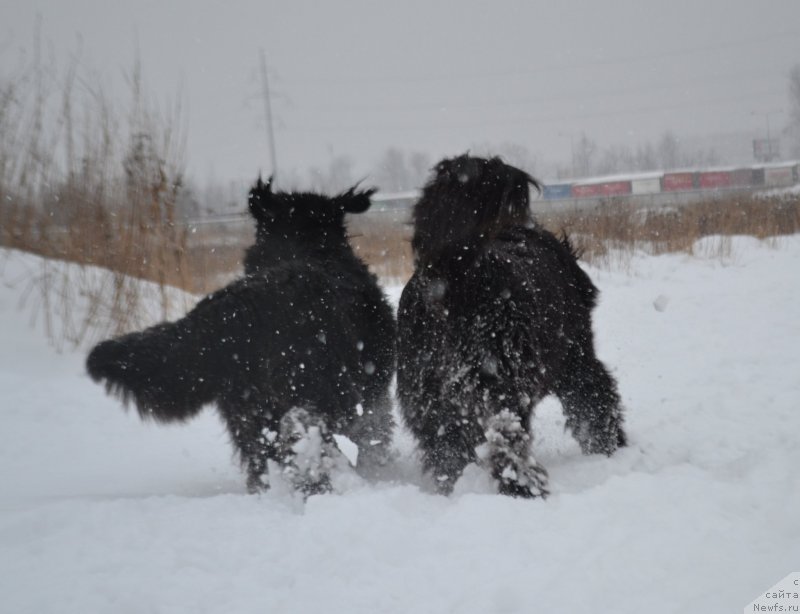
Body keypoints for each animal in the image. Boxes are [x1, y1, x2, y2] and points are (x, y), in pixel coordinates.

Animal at [87, 178, 396, 496]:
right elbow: (375, 435)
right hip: (319, 391)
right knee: (306, 443)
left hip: (246, 411)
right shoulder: (373, 395)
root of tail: (245, 304)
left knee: (262, 458)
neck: (302, 248)